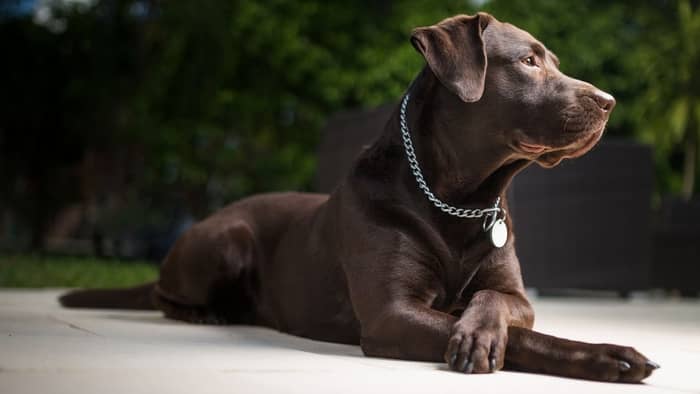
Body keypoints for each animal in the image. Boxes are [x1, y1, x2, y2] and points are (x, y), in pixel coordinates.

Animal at [58, 11, 656, 382]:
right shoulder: (392, 314)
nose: (609, 101)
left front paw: (484, 328)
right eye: (529, 62)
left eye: (551, 60)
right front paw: (608, 354)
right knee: (164, 293)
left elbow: (494, 300)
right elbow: (531, 339)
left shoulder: (516, 296)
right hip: (227, 239)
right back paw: (208, 313)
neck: (459, 198)